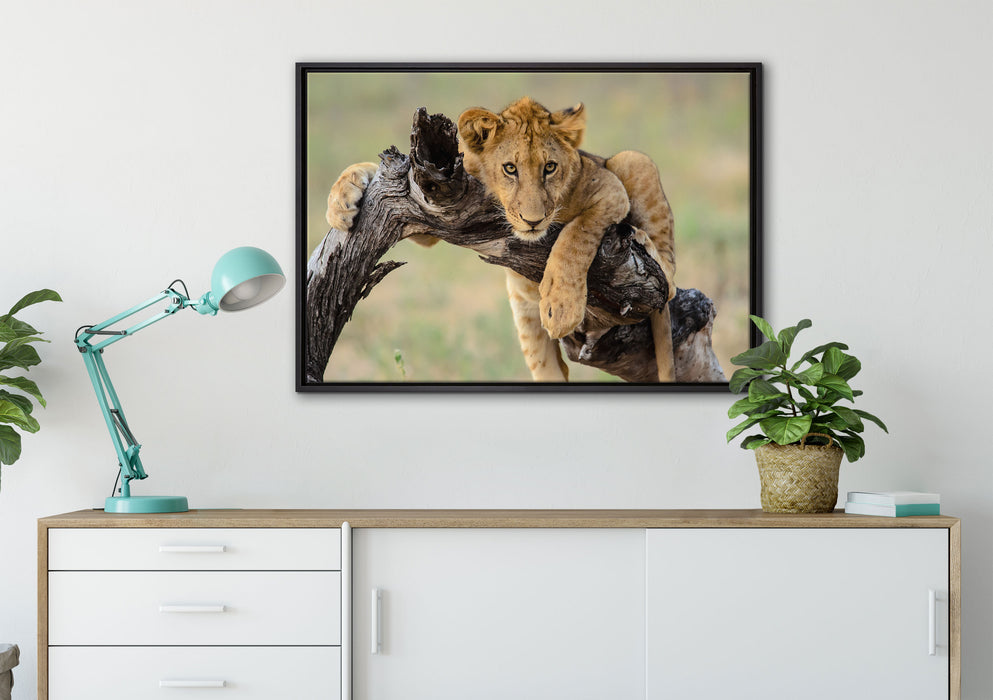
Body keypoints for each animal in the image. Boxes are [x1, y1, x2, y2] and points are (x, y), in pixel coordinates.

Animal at [326, 97, 677, 382]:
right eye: (510, 168)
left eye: (550, 167)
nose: (533, 220)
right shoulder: (431, 201)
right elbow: (375, 171)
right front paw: (341, 201)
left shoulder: (610, 191)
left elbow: (575, 236)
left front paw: (562, 305)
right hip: (527, 324)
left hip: (633, 161)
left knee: (669, 281)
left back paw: (644, 242)